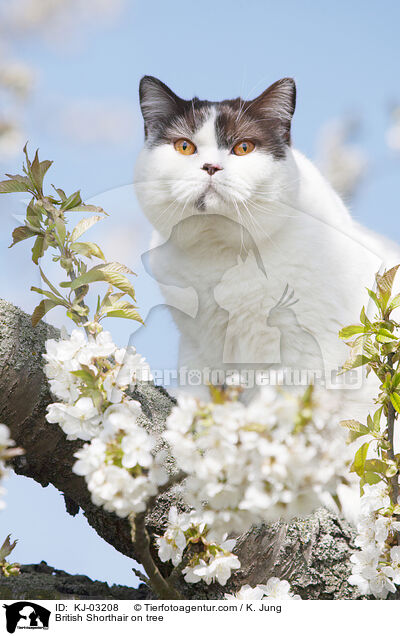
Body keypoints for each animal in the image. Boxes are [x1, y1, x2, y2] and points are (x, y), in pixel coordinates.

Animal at [134, 74, 400, 422]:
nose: (210, 166)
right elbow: (202, 385)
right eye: (184, 146)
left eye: (243, 148)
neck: (221, 255)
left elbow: (284, 405)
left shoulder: (306, 349)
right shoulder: (198, 345)